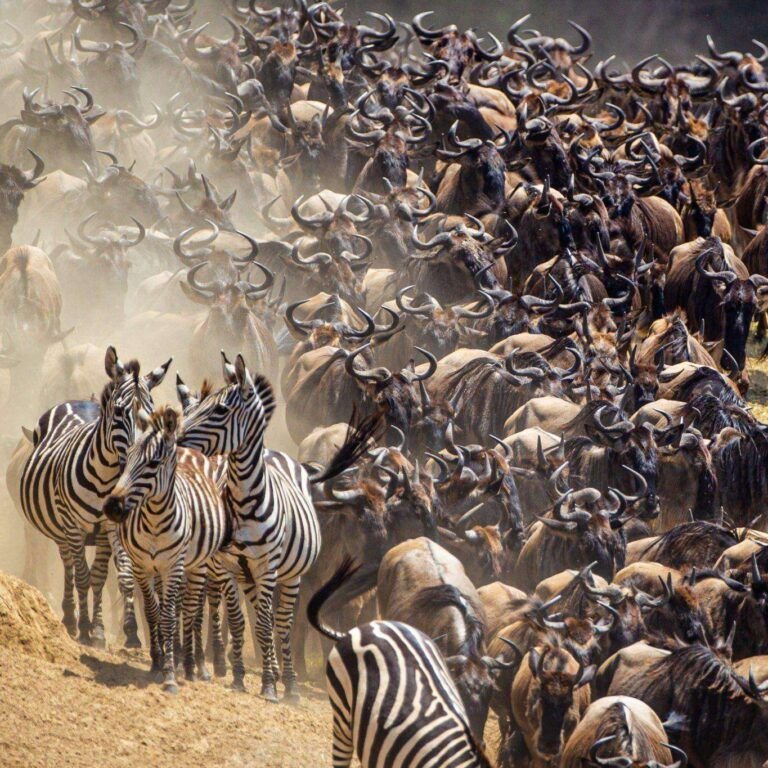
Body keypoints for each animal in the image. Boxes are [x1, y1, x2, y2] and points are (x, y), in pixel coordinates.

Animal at [16, 348, 170, 648]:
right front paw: (85, 626)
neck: (105, 480)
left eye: (150, 414)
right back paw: (68, 618)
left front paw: (111, 631)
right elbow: (83, 577)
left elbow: (110, 577)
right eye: (120, 412)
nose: (140, 457)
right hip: (61, 528)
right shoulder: (74, 527)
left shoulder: (110, 528)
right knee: (69, 566)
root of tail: (77, 400)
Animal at [103, 404, 228, 692]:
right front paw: (156, 663)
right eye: (126, 459)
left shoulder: (173, 566)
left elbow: (170, 616)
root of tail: (188, 451)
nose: (112, 507)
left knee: (193, 612)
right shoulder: (142, 566)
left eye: (152, 463)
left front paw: (170, 673)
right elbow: (153, 613)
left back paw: (194, 666)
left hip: (197, 565)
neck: (155, 520)